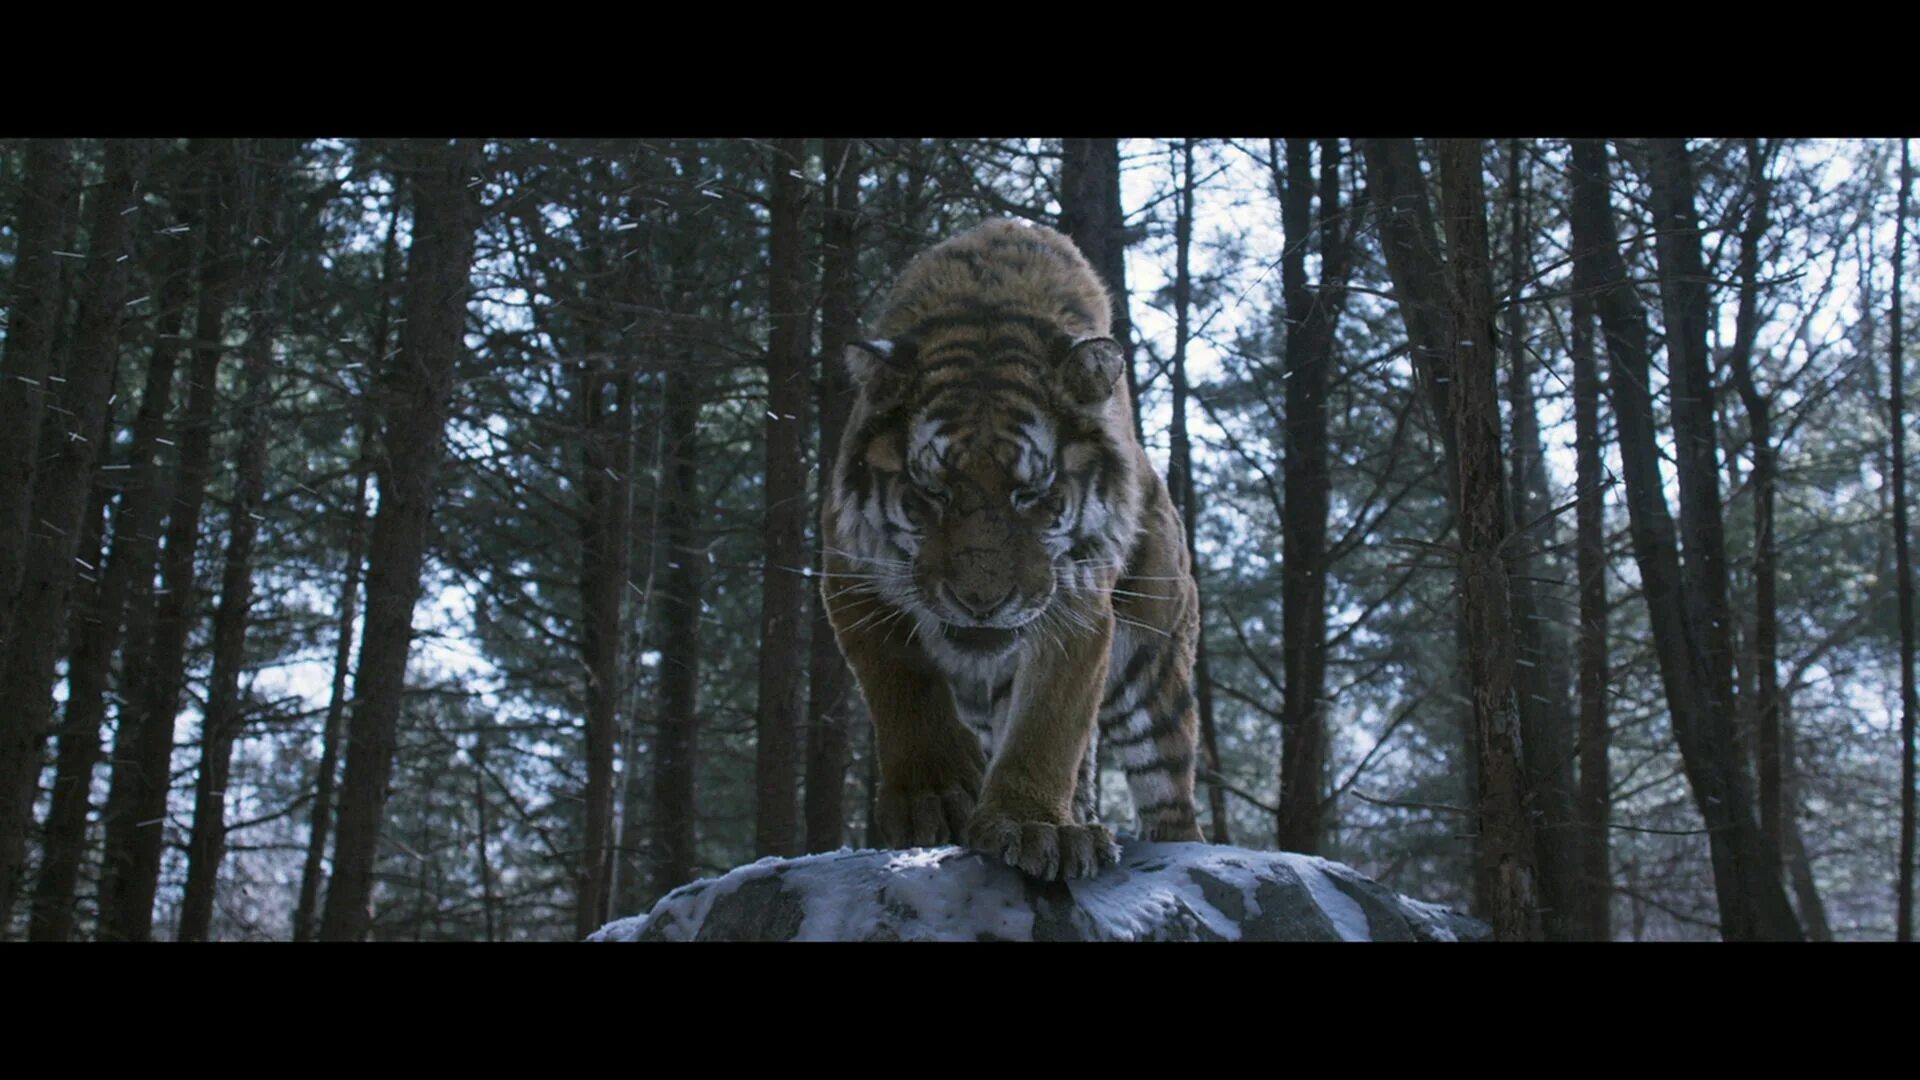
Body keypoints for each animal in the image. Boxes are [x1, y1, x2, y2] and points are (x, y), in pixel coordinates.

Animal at [821, 218, 1206, 883]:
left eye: (1031, 493)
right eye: (933, 491)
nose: (980, 601)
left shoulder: (1078, 600)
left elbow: (1049, 722)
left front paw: (1036, 825)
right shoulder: (849, 571)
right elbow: (901, 684)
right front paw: (934, 793)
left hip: (1153, 675)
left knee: (1168, 791)